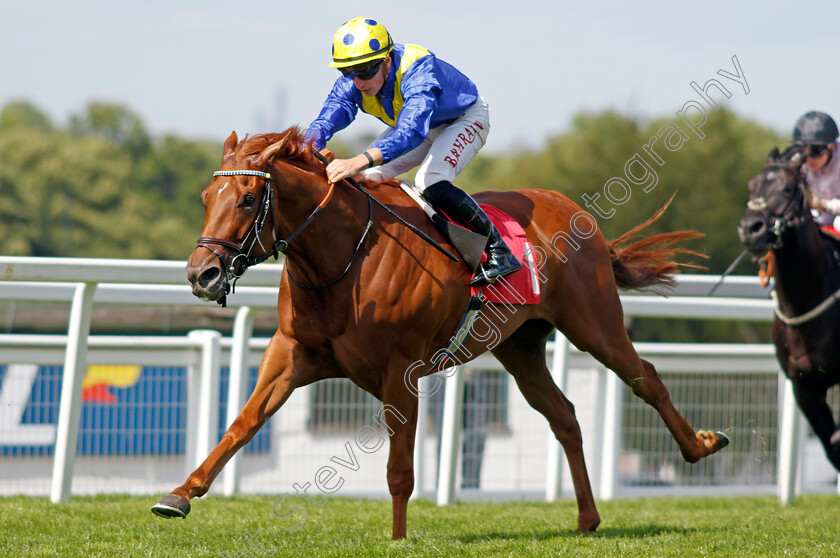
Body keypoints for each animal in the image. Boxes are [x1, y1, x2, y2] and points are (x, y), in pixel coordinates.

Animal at [154, 128, 732, 544]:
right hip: (520, 347)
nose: (201, 273)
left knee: (646, 378)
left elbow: (400, 468)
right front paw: (180, 495)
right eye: (207, 196)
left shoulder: (400, 369)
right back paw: (587, 519)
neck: (343, 259)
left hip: (595, 325)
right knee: (565, 416)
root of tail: (578, 214)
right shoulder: (292, 353)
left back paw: (702, 444)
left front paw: (398, 539)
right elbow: (242, 424)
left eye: (248, 200)